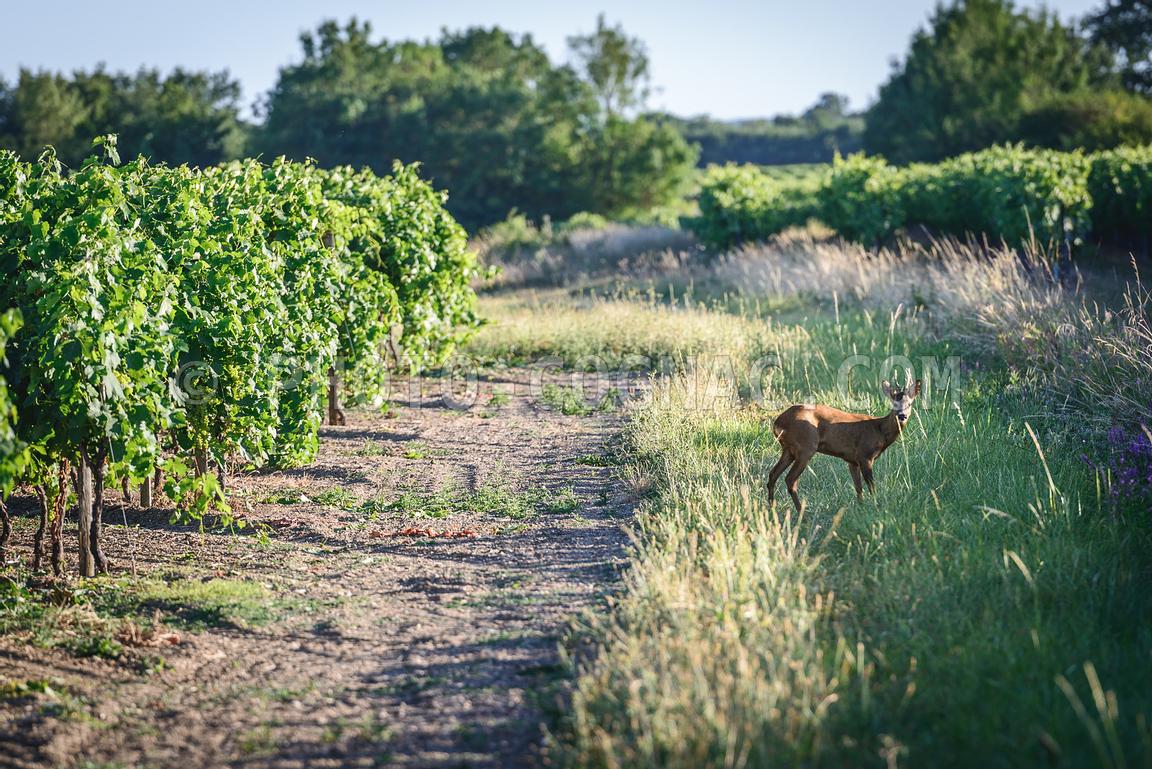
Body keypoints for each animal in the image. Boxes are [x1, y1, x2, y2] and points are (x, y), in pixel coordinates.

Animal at [769, 377, 921, 511]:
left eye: (910, 404)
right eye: (894, 404)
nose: (902, 416)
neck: (879, 431)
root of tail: (778, 422)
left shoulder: (852, 461)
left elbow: (858, 487)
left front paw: (861, 507)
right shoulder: (865, 455)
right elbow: (871, 486)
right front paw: (876, 506)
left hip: (788, 449)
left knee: (773, 474)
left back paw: (772, 509)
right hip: (805, 446)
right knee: (790, 480)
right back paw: (802, 513)